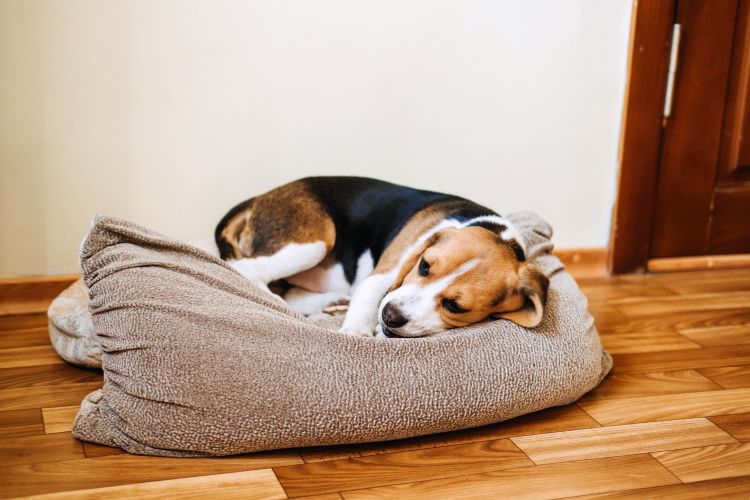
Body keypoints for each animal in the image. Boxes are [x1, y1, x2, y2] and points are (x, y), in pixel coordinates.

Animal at [214, 175, 548, 336]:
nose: (390, 316)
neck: (498, 233)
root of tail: (258, 198)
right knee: (247, 269)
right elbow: (368, 296)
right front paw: (356, 333)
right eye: (424, 265)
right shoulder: (384, 274)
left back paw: (330, 302)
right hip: (314, 242)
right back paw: (278, 305)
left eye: (455, 306)